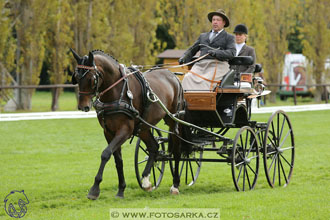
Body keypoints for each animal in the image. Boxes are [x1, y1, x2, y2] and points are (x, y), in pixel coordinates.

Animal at [71, 49, 184, 199]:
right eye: (76, 78)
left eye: (91, 79)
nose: (82, 106)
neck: (117, 92)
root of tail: (173, 76)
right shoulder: (108, 132)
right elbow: (117, 160)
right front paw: (121, 189)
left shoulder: (125, 130)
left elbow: (105, 154)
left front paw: (94, 189)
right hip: (143, 127)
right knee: (153, 147)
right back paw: (146, 181)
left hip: (173, 121)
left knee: (177, 151)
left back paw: (175, 185)